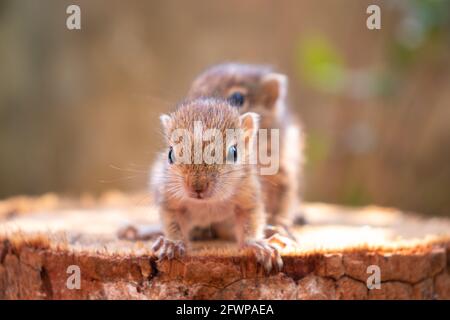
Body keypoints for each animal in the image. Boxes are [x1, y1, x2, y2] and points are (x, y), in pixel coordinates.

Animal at [152, 99, 284, 272]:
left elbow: (251, 221)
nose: (197, 187)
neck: (207, 203)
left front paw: (256, 245)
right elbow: (172, 222)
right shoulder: (170, 199)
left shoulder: (248, 196)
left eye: (234, 152)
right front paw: (172, 244)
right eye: (170, 154)